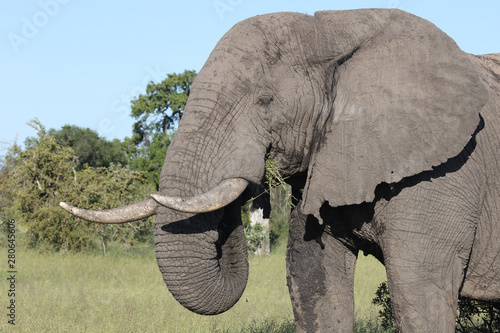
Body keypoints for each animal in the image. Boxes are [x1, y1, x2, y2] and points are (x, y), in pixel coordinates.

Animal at [61, 8, 500, 332]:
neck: (332, 29)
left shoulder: (446, 169)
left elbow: (418, 288)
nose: (253, 190)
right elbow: (311, 275)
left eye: (265, 100)